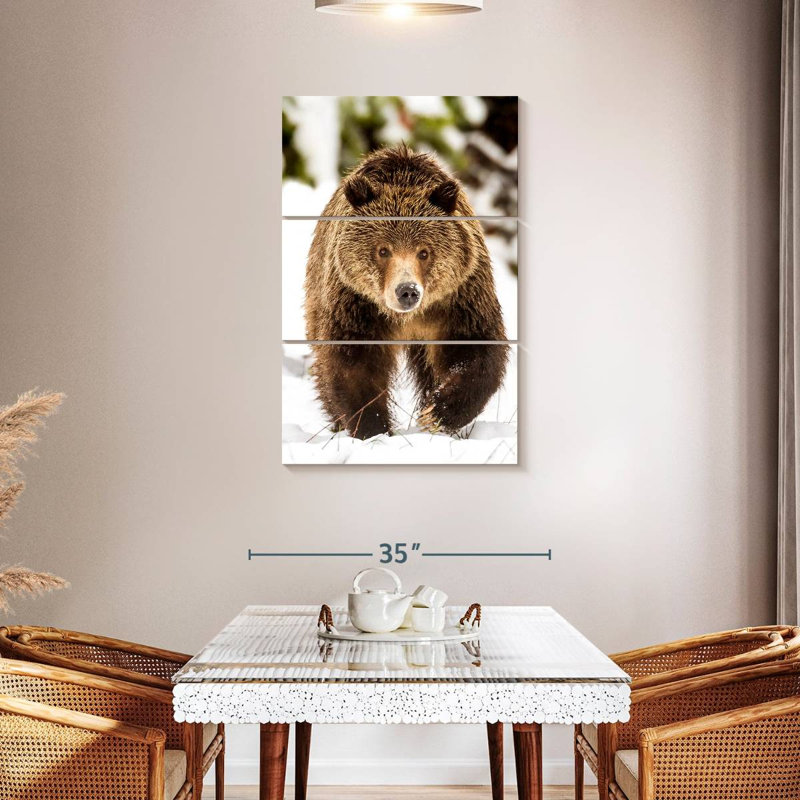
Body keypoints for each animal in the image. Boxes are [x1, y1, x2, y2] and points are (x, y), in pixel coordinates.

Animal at [304, 144, 509, 440]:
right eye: (383, 250)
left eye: (424, 251)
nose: (407, 291)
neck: (407, 318)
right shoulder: (356, 305)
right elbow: (353, 366)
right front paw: (373, 428)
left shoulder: (459, 299)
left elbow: (474, 352)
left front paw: (437, 413)